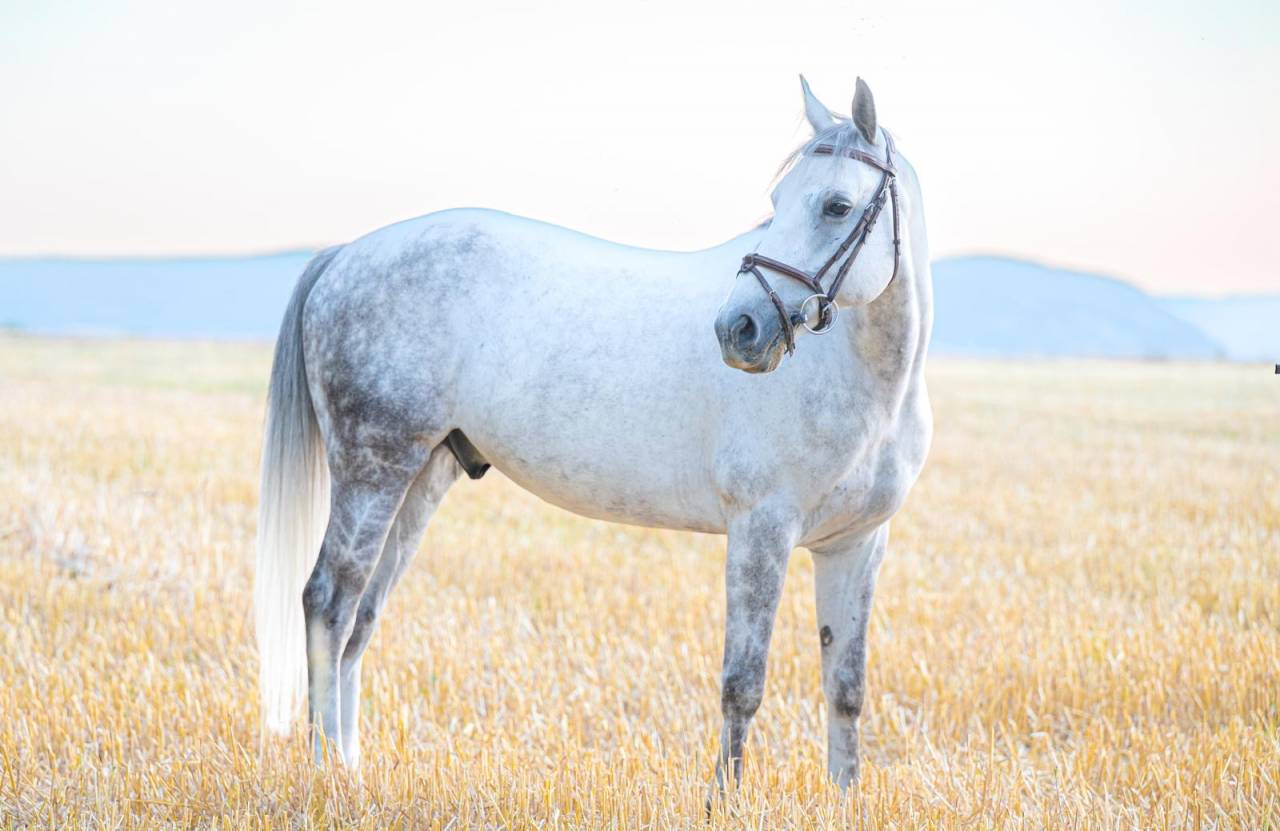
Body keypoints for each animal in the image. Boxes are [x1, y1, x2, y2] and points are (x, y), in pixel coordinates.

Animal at [255, 75, 932, 794]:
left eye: (837, 205)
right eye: (776, 202)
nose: (739, 330)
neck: (864, 381)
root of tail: (344, 256)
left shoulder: (855, 545)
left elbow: (847, 688)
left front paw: (844, 799)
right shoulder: (761, 529)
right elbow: (742, 685)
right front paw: (724, 803)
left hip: (421, 477)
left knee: (363, 615)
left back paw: (350, 765)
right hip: (372, 470)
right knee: (329, 601)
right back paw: (325, 766)